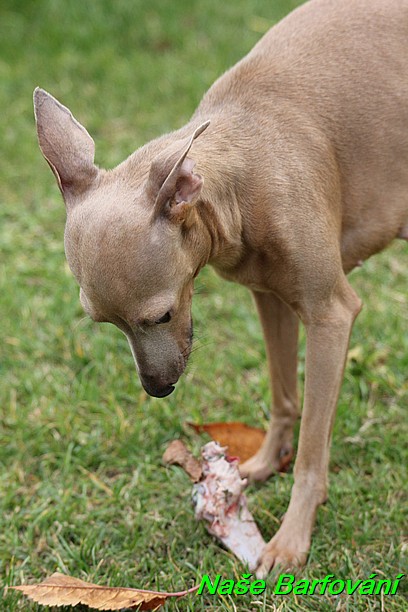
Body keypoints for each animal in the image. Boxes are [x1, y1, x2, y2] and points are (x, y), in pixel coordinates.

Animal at [35, 0, 408, 572]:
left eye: (161, 315)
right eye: (104, 322)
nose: (157, 389)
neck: (246, 170)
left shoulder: (331, 315)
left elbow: (311, 448)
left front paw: (292, 539)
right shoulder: (270, 299)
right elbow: (284, 396)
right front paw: (262, 464)